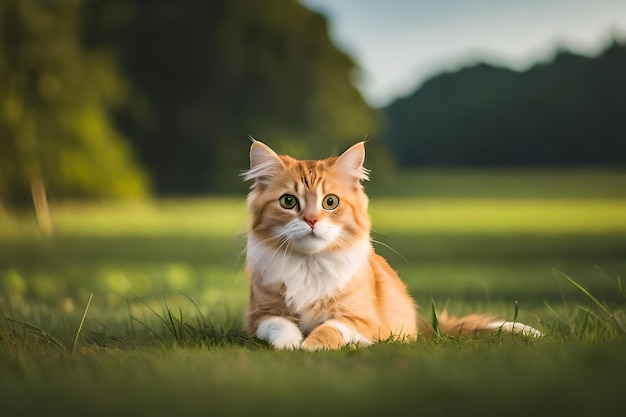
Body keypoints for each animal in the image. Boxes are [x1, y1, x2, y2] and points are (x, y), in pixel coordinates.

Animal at [241, 139, 540, 348]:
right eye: (288, 201)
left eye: (330, 202)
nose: (312, 220)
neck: (309, 263)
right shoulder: (261, 316)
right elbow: (281, 326)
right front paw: (291, 343)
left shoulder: (361, 319)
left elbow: (330, 328)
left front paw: (312, 344)